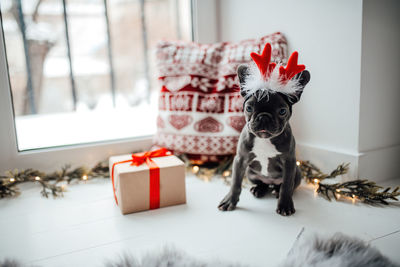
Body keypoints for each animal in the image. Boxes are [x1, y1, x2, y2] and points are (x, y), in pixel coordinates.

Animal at [219, 43, 310, 216]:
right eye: (249, 108)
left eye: (282, 111)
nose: (264, 117)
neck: (265, 139)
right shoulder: (240, 160)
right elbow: (235, 183)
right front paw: (230, 200)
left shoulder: (289, 163)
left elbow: (286, 186)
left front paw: (285, 205)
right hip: (250, 172)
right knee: (262, 183)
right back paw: (259, 189)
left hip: (297, 172)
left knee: (283, 186)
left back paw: (276, 190)